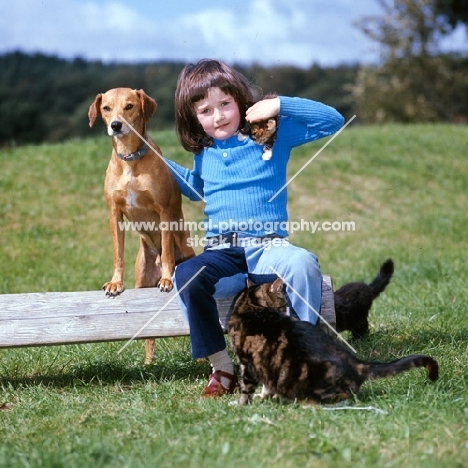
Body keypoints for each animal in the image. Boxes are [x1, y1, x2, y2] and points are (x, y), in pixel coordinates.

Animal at [88, 88, 195, 366]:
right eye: (106, 108)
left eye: (129, 106)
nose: (116, 125)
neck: (129, 160)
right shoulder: (115, 214)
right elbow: (118, 254)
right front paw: (115, 283)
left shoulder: (164, 211)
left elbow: (167, 248)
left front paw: (167, 278)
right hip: (142, 282)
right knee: (149, 334)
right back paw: (148, 364)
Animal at [228, 278, 438, 406]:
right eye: (283, 303)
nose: (287, 310)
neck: (249, 307)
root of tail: (358, 364)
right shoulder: (264, 363)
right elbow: (266, 385)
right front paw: (265, 397)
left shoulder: (247, 363)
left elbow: (246, 389)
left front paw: (241, 406)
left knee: (345, 397)